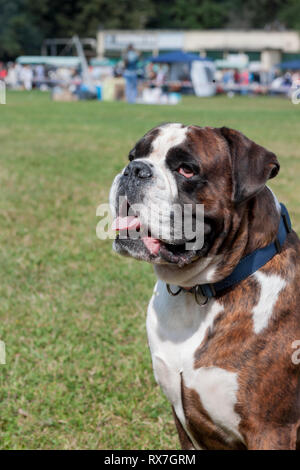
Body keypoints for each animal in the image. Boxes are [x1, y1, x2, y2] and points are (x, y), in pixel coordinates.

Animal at [109, 123, 298, 450]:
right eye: (133, 156)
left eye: (186, 170)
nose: (134, 170)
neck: (199, 292)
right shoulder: (182, 421)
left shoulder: (271, 431)